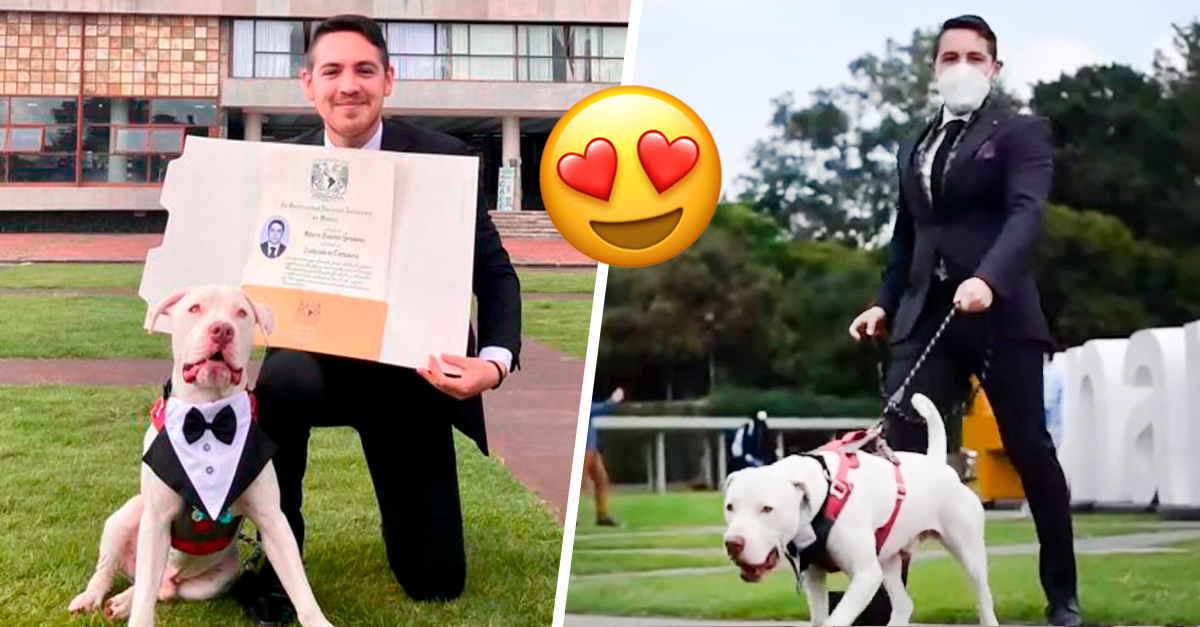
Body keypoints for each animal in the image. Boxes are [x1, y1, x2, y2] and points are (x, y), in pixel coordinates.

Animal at [69, 284, 338, 624]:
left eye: (241, 313)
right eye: (195, 309)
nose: (222, 329)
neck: (208, 416)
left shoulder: (273, 520)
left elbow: (298, 583)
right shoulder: (156, 520)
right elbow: (145, 598)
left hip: (216, 579)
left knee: (161, 587)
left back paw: (124, 600)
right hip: (127, 516)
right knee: (117, 572)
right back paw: (93, 597)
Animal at [720, 393, 993, 619]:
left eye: (767, 509)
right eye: (730, 507)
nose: (733, 543)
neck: (824, 491)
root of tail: (939, 465)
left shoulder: (865, 576)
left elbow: (837, 619)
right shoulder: (814, 576)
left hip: (968, 553)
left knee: (984, 598)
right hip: (888, 560)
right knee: (903, 604)